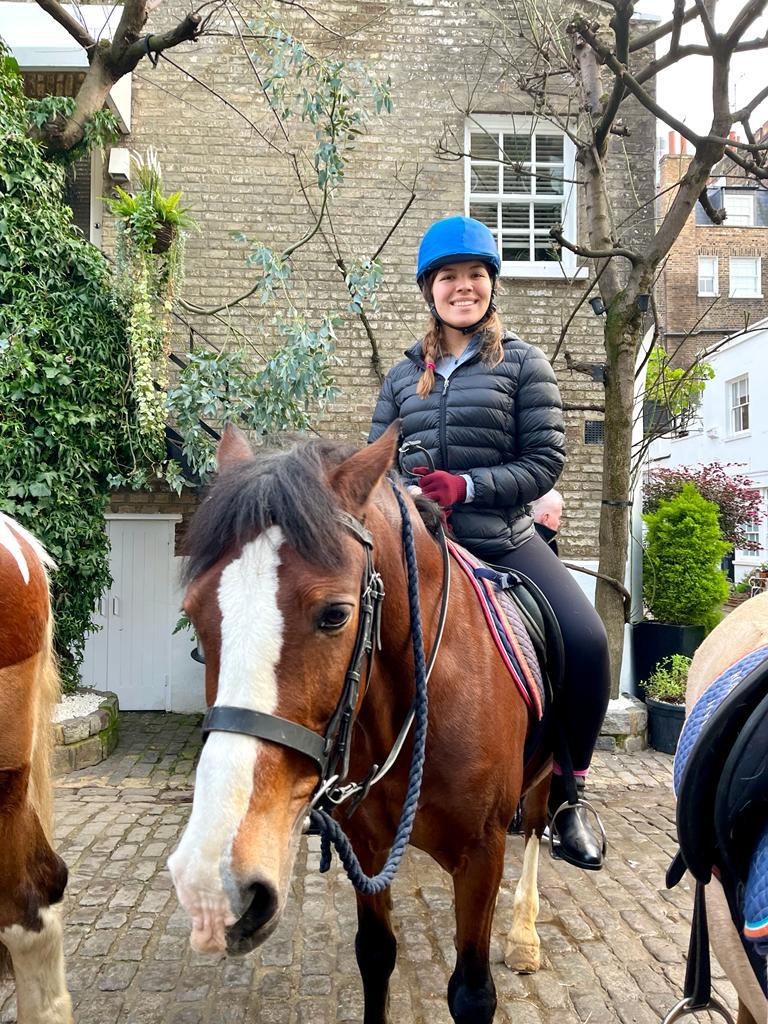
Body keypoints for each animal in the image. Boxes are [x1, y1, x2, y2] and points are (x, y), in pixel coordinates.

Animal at [167, 425, 552, 1024]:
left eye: (336, 614)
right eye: (194, 611)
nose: (212, 887)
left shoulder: (482, 854)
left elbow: (471, 992)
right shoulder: (367, 847)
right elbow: (375, 957)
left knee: (535, 828)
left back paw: (524, 936)